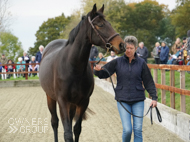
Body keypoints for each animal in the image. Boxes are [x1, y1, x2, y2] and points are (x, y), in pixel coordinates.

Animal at [39, 4, 125, 142]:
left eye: (109, 23)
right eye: (100, 25)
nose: (121, 44)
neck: (74, 68)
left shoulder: (83, 102)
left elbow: (77, 129)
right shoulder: (62, 101)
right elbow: (67, 134)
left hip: (72, 104)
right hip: (50, 97)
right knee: (54, 122)